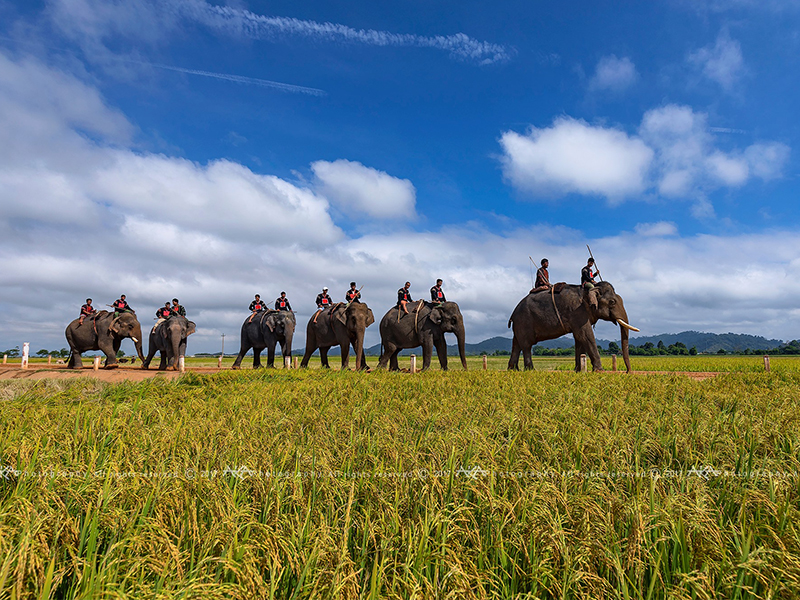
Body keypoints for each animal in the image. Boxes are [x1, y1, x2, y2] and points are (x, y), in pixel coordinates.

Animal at [510, 280, 640, 370]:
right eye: (612, 302)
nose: (628, 372)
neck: (589, 290)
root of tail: (513, 313)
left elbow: (579, 338)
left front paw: (578, 371)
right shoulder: (577, 312)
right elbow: (586, 335)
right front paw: (600, 371)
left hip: (519, 325)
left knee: (516, 344)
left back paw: (513, 370)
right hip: (524, 321)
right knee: (526, 345)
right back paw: (531, 371)